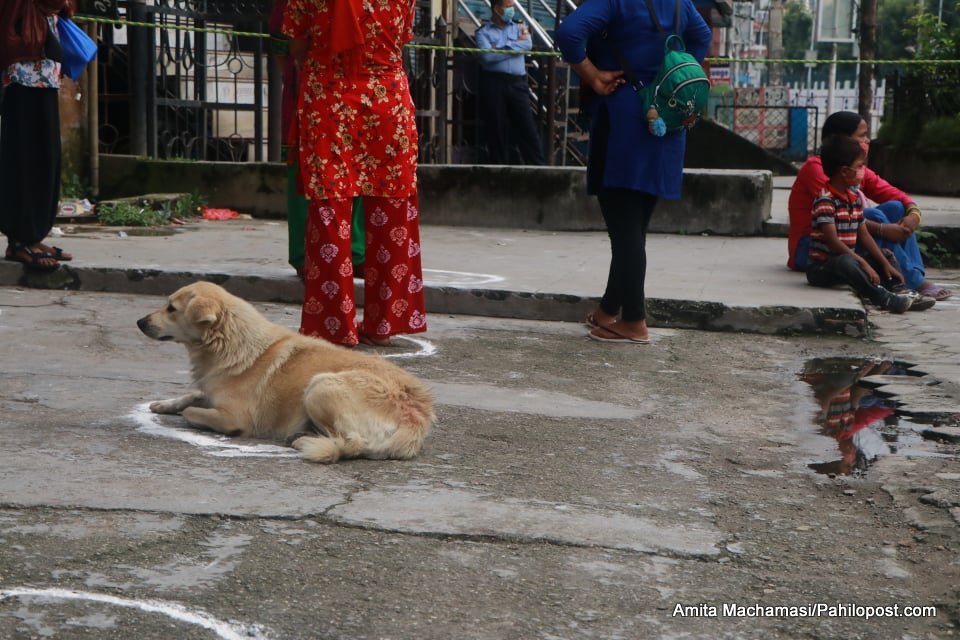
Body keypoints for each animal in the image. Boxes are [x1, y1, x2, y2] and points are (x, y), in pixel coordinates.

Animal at [137, 281, 434, 463]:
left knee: (353, 444)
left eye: (171, 309)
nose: (139, 322)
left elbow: (191, 411)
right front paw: (164, 403)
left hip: (321, 385)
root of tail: (416, 419)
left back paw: (305, 439)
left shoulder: (235, 418)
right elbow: (193, 395)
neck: (227, 342)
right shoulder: (210, 391)